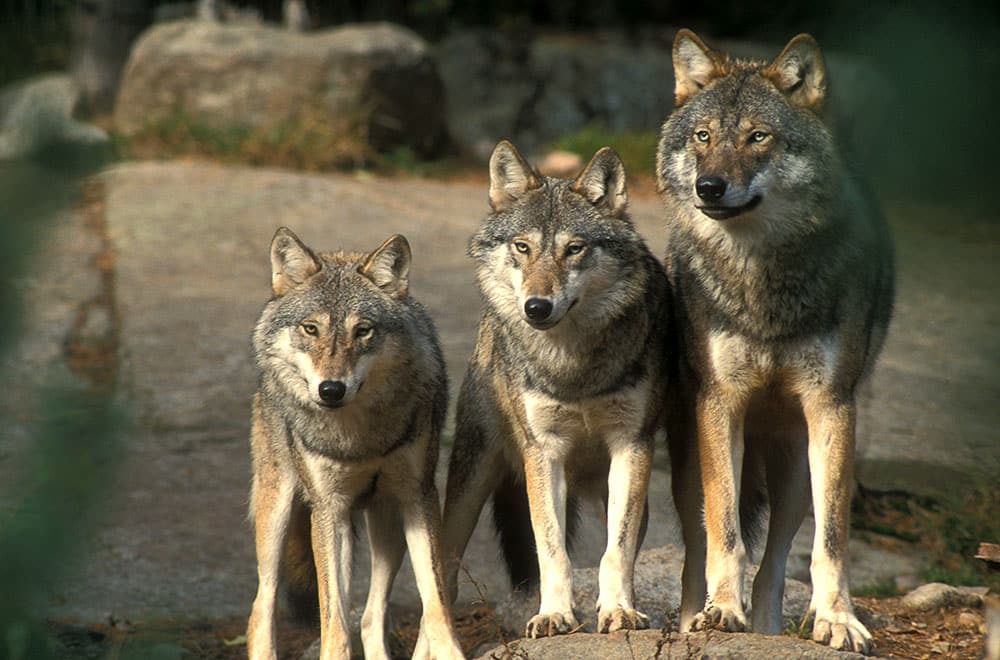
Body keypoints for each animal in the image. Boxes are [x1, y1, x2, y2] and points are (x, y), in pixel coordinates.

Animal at [244, 229, 462, 660]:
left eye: (363, 331)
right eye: (311, 329)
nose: (330, 389)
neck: (359, 438)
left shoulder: (419, 498)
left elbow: (435, 603)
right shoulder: (329, 510)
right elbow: (334, 620)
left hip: (387, 521)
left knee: (371, 616)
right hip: (278, 513)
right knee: (262, 606)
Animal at [438, 142, 672, 636]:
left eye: (574, 249)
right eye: (523, 247)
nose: (537, 307)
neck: (572, 367)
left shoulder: (631, 446)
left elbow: (616, 551)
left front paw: (619, 610)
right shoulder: (542, 452)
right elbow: (550, 548)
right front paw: (553, 614)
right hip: (473, 474)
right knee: (444, 562)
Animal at [660, 28, 896, 652]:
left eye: (758, 137)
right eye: (704, 136)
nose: (709, 186)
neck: (760, 280)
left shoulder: (831, 409)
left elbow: (831, 542)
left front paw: (838, 620)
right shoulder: (721, 406)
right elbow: (724, 533)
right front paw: (721, 610)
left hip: (795, 472)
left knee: (773, 566)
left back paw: (767, 629)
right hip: (689, 464)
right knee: (695, 554)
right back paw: (694, 620)